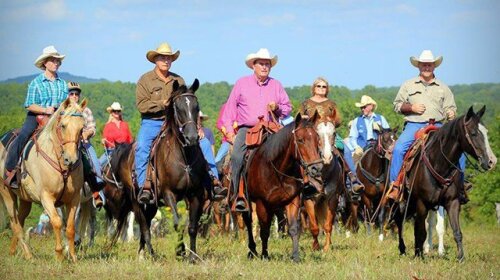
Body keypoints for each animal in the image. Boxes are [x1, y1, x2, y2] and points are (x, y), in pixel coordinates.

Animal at [0, 99, 85, 262]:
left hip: (25, 198)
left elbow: (70, 227)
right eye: (63, 125)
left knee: (20, 219)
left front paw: (73, 257)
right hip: (6, 193)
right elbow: (57, 222)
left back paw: (13, 251)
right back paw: (28, 255)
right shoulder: (46, 197)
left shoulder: (74, 198)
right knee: (15, 223)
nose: (70, 159)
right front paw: (59, 255)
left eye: (82, 128)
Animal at [242, 112, 324, 262]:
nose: (316, 168)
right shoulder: (262, 203)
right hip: (247, 202)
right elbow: (264, 230)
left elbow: (293, 228)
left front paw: (295, 256)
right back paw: (252, 251)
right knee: (249, 222)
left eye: (317, 139)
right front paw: (265, 255)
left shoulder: (292, 200)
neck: (277, 170)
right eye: (300, 140)